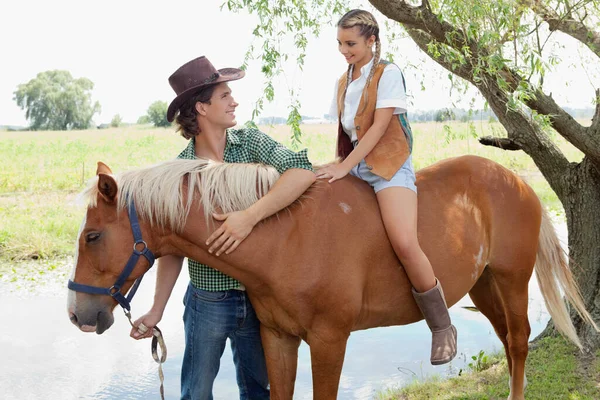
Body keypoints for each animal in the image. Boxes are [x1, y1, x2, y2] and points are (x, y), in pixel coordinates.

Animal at [67, 155, 596, 400]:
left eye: (92, 236)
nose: (77, 314)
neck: (283, 236)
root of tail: (517, 180)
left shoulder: (328, 341)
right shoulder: (276, 337)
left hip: (510, 281)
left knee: (520, 342)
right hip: (483, 287)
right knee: (508, 341)